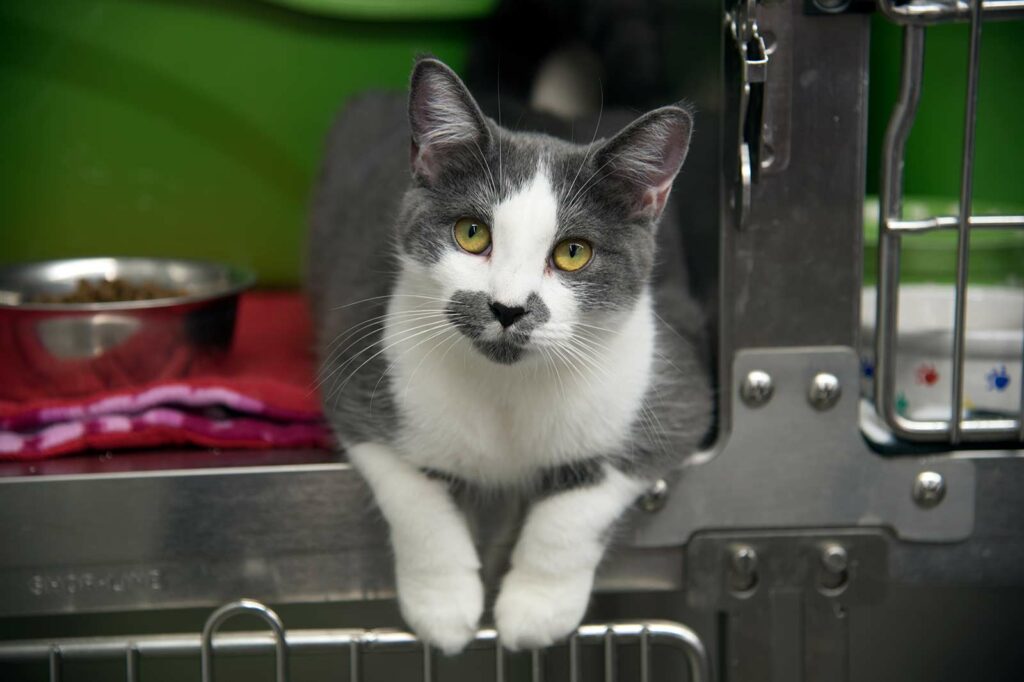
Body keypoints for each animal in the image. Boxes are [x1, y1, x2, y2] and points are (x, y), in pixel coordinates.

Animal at [305, 55, 712, 651]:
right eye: (472, 233)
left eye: (573, 252)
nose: (507, 308)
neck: (507, 388)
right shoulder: (360, 368)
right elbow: (413, 493)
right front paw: (443, 606)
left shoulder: (671, 388)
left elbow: (579, 504)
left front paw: (536, 610)